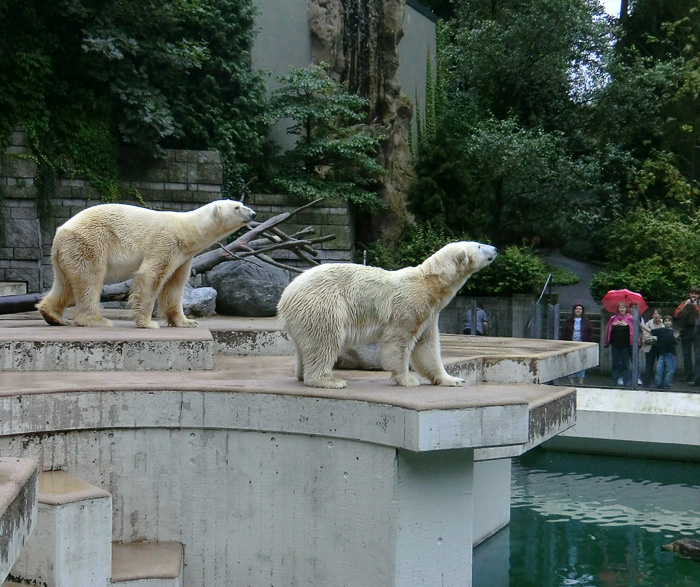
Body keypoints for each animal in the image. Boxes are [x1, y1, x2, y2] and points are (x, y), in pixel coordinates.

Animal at [37, 201, 256, 330]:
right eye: (237, 207)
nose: (253, 214)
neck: (186, 230)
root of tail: (60, 231)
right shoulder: (165, 242)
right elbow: (151, 276)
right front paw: (148, 322)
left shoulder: (184, 257)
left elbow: (175, 286)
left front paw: (186, 321)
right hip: (90, 243)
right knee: (90, 280)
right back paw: (96, 320)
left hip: (68, 252)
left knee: (66, 284)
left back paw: (53, 316)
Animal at [278, 241, 498, 388]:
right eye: (479, 246)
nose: (495, 248)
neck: (429, 285)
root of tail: (286, 295)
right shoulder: (409, 306)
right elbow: (399, 342)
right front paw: (408, 379)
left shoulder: (429, 314)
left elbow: (427, 347)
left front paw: (453, 379)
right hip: (323, 304)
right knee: (325, 340)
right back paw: (329, 380)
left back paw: (302, 374)